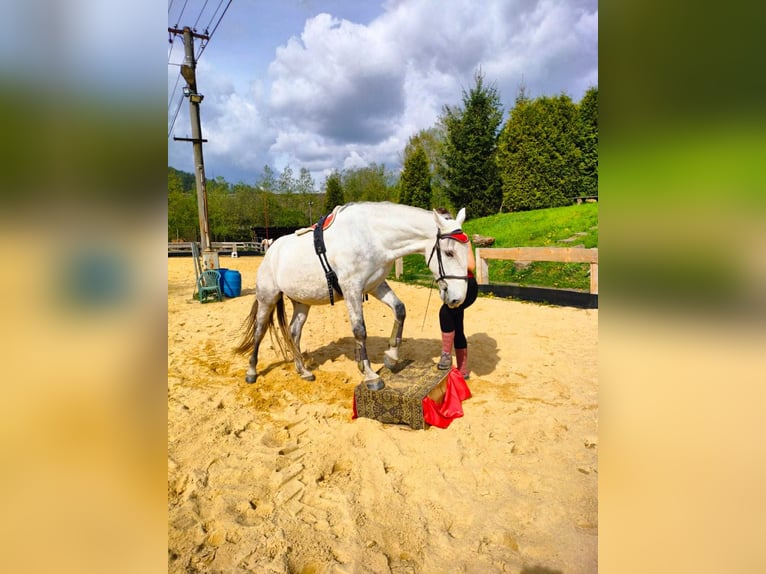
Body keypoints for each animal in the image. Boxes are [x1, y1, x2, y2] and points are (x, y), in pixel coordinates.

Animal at [235, 202, 471, 390]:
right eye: (449, 253)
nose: (457, 298)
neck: (373, 236)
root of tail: (270, 251)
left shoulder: (375, 286)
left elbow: (400, 310)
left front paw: (391, 357)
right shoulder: (352, 289)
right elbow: (360, 330)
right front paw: (370, 375)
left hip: (302, 302)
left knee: (294, 332)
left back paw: (303, 370)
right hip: (267, 297)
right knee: (259, 331)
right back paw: (252, 372)